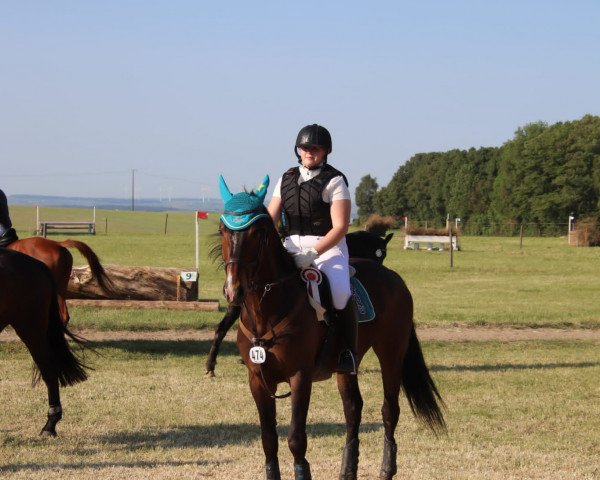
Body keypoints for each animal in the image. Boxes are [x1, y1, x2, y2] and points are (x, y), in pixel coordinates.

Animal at [218, 177, 442, 480]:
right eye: (223, 230)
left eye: (257, 233)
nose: (234, 290)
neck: (267, 309)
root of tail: (393, 277)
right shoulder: (257, 379)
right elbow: (268, 440)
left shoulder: (300, 377)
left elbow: (296, 439)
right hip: (347, 364)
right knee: (353, 409)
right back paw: (348, 470)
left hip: (392, 353)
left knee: (389, 409)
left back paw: (387, 468)